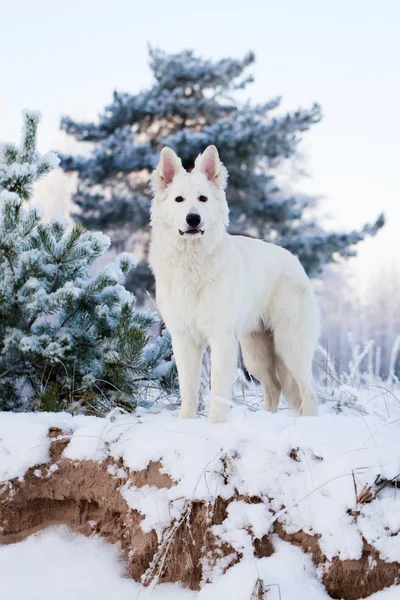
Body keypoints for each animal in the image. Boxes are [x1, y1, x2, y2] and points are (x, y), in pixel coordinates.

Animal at [148, 145, 320, 422]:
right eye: (179, 200)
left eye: (203, 199)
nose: (193, 219)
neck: (192, 262)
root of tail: (295, 261)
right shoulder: (184, 341)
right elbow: (188, 390)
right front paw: (185, 423)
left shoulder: (220, 339)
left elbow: (218, 390)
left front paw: (215, 425)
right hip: (255, 354)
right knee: (274, 387)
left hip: (290, 347)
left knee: (308, 393)